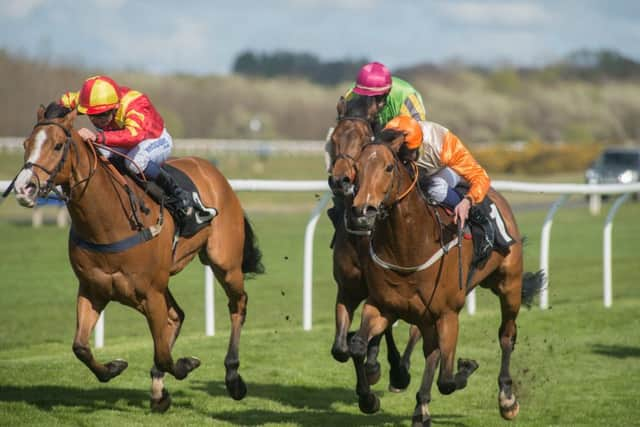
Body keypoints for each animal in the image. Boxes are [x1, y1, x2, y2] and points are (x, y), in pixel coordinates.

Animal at [10, 103, 264, 412]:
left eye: (58, 145)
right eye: (25, 144)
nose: (24, 188)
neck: (108, 222)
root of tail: (213, 172)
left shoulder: (150, 292)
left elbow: (165, 355)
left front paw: (186, 365)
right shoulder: (93, 290)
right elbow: (80, 347)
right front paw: (115, 367)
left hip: (224, 263)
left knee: (237, 305)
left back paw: (233, 377)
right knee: (176, 315)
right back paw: (158, 389)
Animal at [324, 96, 420, 392]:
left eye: (365, 140)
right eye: (334, 138)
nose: (341, 179)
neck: (360, 237)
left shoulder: (382, 291)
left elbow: (380, 332)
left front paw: (382, 367)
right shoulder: (347, 288)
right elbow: (341, 348)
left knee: (416, 329)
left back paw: (402, 369)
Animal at [344, 132, 540, 426]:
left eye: (388, 167)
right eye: (357, 167)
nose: (362, 212)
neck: (408, 248)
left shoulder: (448, 314)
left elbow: (447, 380)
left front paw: (468, 365)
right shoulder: (382, 306)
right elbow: (357, 345)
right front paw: (369, 399)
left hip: (509, 286)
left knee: (506, 335)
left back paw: (507, 398)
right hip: (427, 317)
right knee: (431, 351)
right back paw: (420, 406)